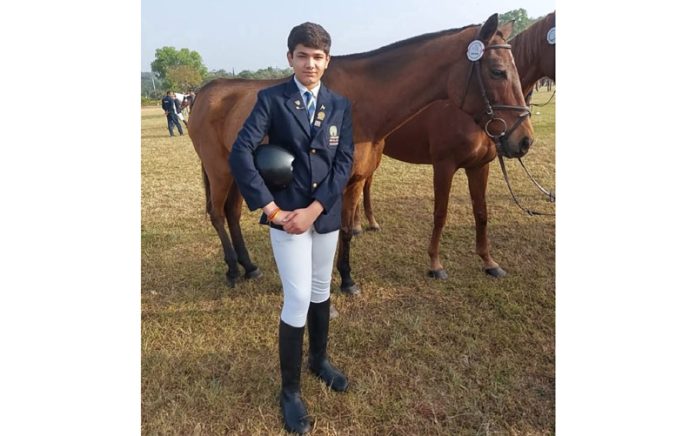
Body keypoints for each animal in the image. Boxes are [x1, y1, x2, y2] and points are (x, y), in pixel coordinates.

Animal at [186, 14, 532, 292]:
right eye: (497, 71)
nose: (523, 140)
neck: (361, 104)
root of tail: (202, 93)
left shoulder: (352, 182)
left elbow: (345, 232)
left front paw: (347, 280)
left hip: (238, 173)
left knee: (231, 213)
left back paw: (250, 267)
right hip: (219, 170)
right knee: (217, 213)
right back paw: (233, 270)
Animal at [356, 11, 556, 282]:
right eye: (497, 71)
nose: (525, 140)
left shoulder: (480, 166)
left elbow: (481, 213)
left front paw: (489, 261)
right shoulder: (444, 165)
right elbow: (440, 213)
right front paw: (435, 264)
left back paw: (369, 221)